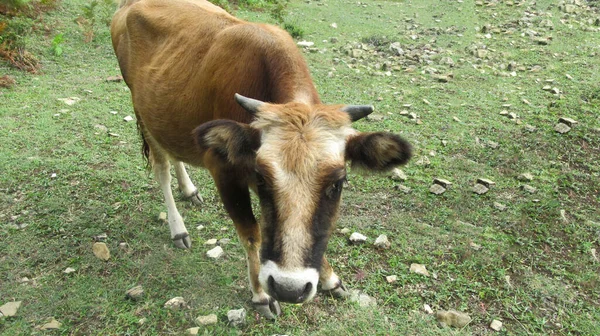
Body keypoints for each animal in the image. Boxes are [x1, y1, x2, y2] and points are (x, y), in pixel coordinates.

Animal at [110, 0, 410, 318]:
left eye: (337, 184)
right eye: (262, 178)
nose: (289, 288)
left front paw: (329, 278)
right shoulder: (223, 170)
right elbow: (251, 232)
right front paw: (260, 294)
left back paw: (188, 189)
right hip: (141, 112)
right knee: (162, 168)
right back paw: (178, 228)